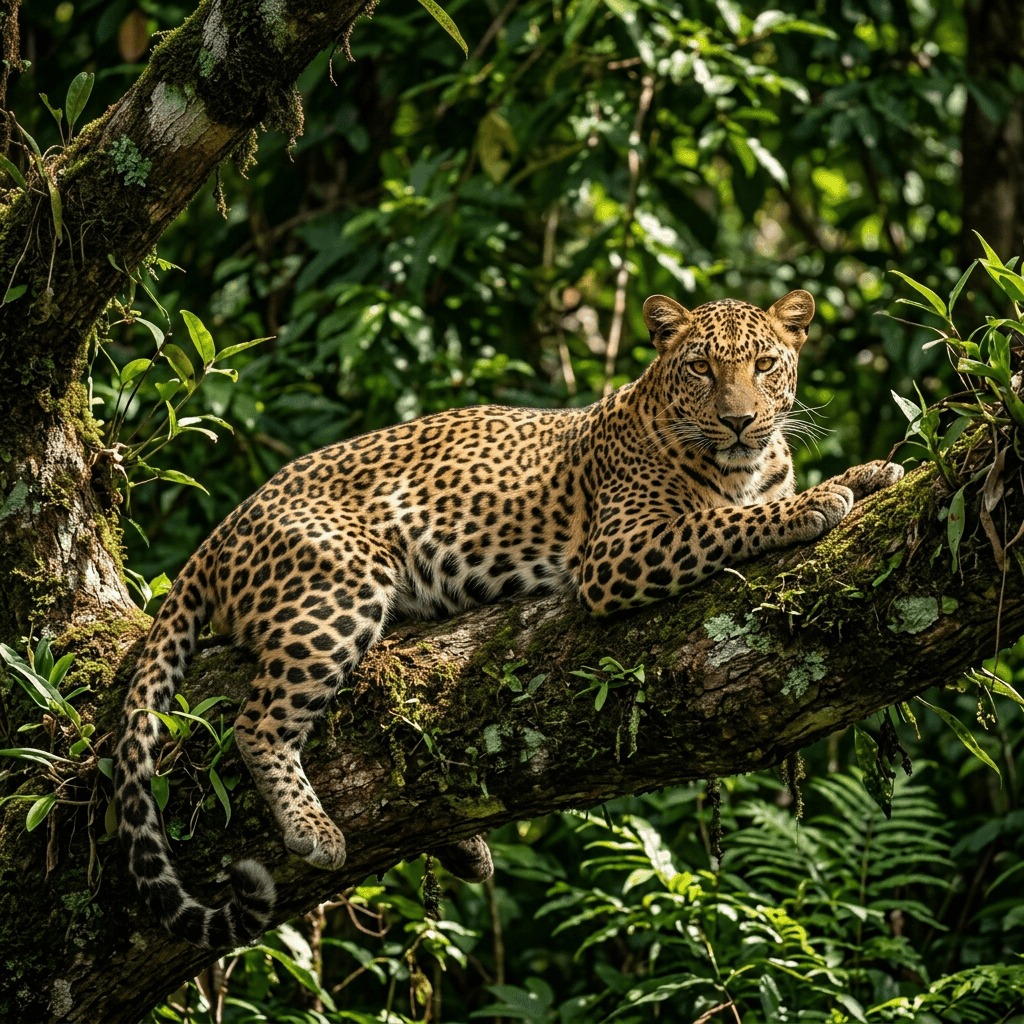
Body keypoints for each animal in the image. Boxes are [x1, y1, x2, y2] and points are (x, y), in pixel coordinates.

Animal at [114, 288, 904, 946]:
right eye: (702, 369)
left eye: (765, 365)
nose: (739, 421)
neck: (745, 466)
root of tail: (225, 524)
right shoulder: (620, 551)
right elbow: (727, 523)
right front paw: (817, 502)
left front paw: (870, 472)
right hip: (338, 588)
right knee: (259, 723)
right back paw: (316, 830)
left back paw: (464, 848)